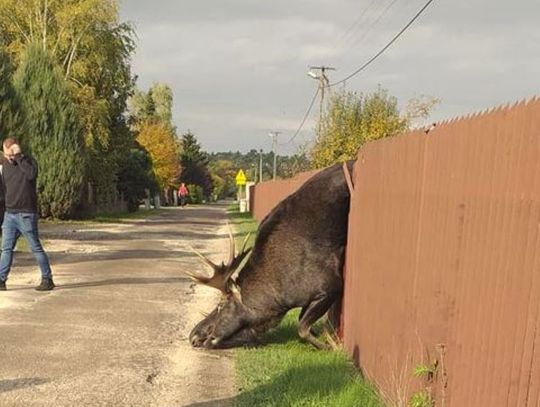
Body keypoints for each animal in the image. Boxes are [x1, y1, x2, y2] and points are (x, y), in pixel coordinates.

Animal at [189, 161, 354, 350]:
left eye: (220, 305)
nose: (193, 335)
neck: (279, 300)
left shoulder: (330, 285)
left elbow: (302, 328)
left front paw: (331, 346)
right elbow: (304, 323)